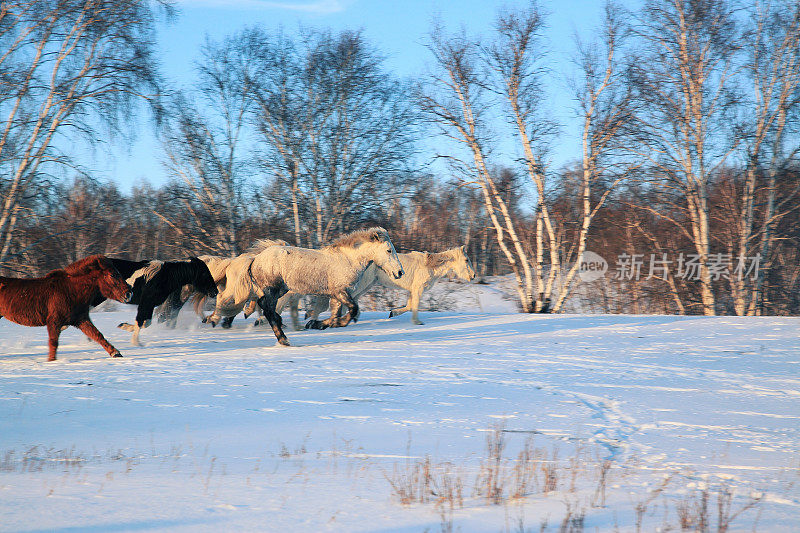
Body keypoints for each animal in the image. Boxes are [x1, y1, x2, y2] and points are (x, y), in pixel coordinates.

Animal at [0, 255, 133, 362]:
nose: (128, 293)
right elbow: (53, 342)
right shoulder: (54, 321)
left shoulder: (81, 319)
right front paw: (51, 361)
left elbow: (97, 335)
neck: (71, 290)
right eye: (112, 275)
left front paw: (115, 353)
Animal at [209, 228, 404, 344]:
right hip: (273, 289)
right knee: (267, 310)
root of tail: (256, 258)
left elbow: (336, 315)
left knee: (266, 308)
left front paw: (318, 324)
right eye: (389, 250)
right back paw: (283, 338)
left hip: (280, 290)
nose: (400, 272)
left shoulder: (336, 296)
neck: (346, 260)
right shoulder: (340, 292)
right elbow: (352, 310)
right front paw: (317, 323)